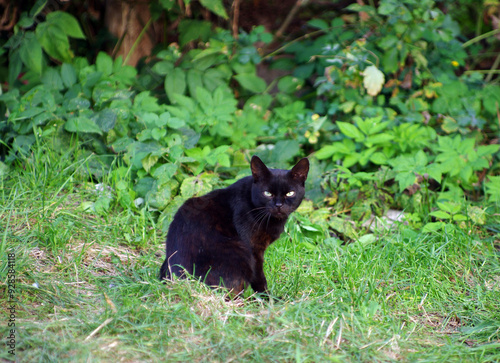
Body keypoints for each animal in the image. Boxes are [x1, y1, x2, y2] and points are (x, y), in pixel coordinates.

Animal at [160, 156, 308, 296]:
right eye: (267, 193)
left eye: (290, 193)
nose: (278, 205)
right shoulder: (254, 250)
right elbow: (259, 278)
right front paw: (268, 299)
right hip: (240, 251)